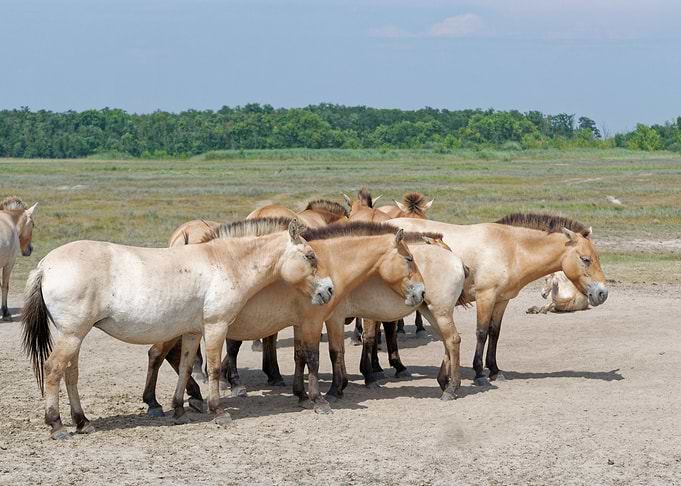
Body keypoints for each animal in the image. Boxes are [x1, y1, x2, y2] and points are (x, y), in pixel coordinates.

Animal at [22, 218, 334, 439]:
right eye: (310, 256)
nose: (329, 289)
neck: (225, 263)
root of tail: (45, 265)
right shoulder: (216, 326)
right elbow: (213, 369)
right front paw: (218, 411)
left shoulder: (193, 332)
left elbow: (185, 368)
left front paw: (180, 410)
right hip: (72, 335)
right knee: (53, 370)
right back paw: (57, 425)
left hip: (74, 336)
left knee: (70, 375)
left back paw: (83, 422)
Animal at [142, 221, 427, 415]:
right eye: (409, 258)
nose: (422, 292)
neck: (331, 262)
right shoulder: (319, 320)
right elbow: (319, 356)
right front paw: (323, 397)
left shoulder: (302, 323)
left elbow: (300, 356)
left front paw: (301, 394)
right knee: (157, 354)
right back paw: (155, 402)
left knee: (174, 357)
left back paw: (192, 397)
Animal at [389, 212, 609, 386]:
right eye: (586, 259)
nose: (602, 293)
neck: (511, 248)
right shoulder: (485, 296)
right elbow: (481, 332)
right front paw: (479, 373)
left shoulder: (502, 300)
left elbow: (494, 332)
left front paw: (494, 370)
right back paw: (398, 367)